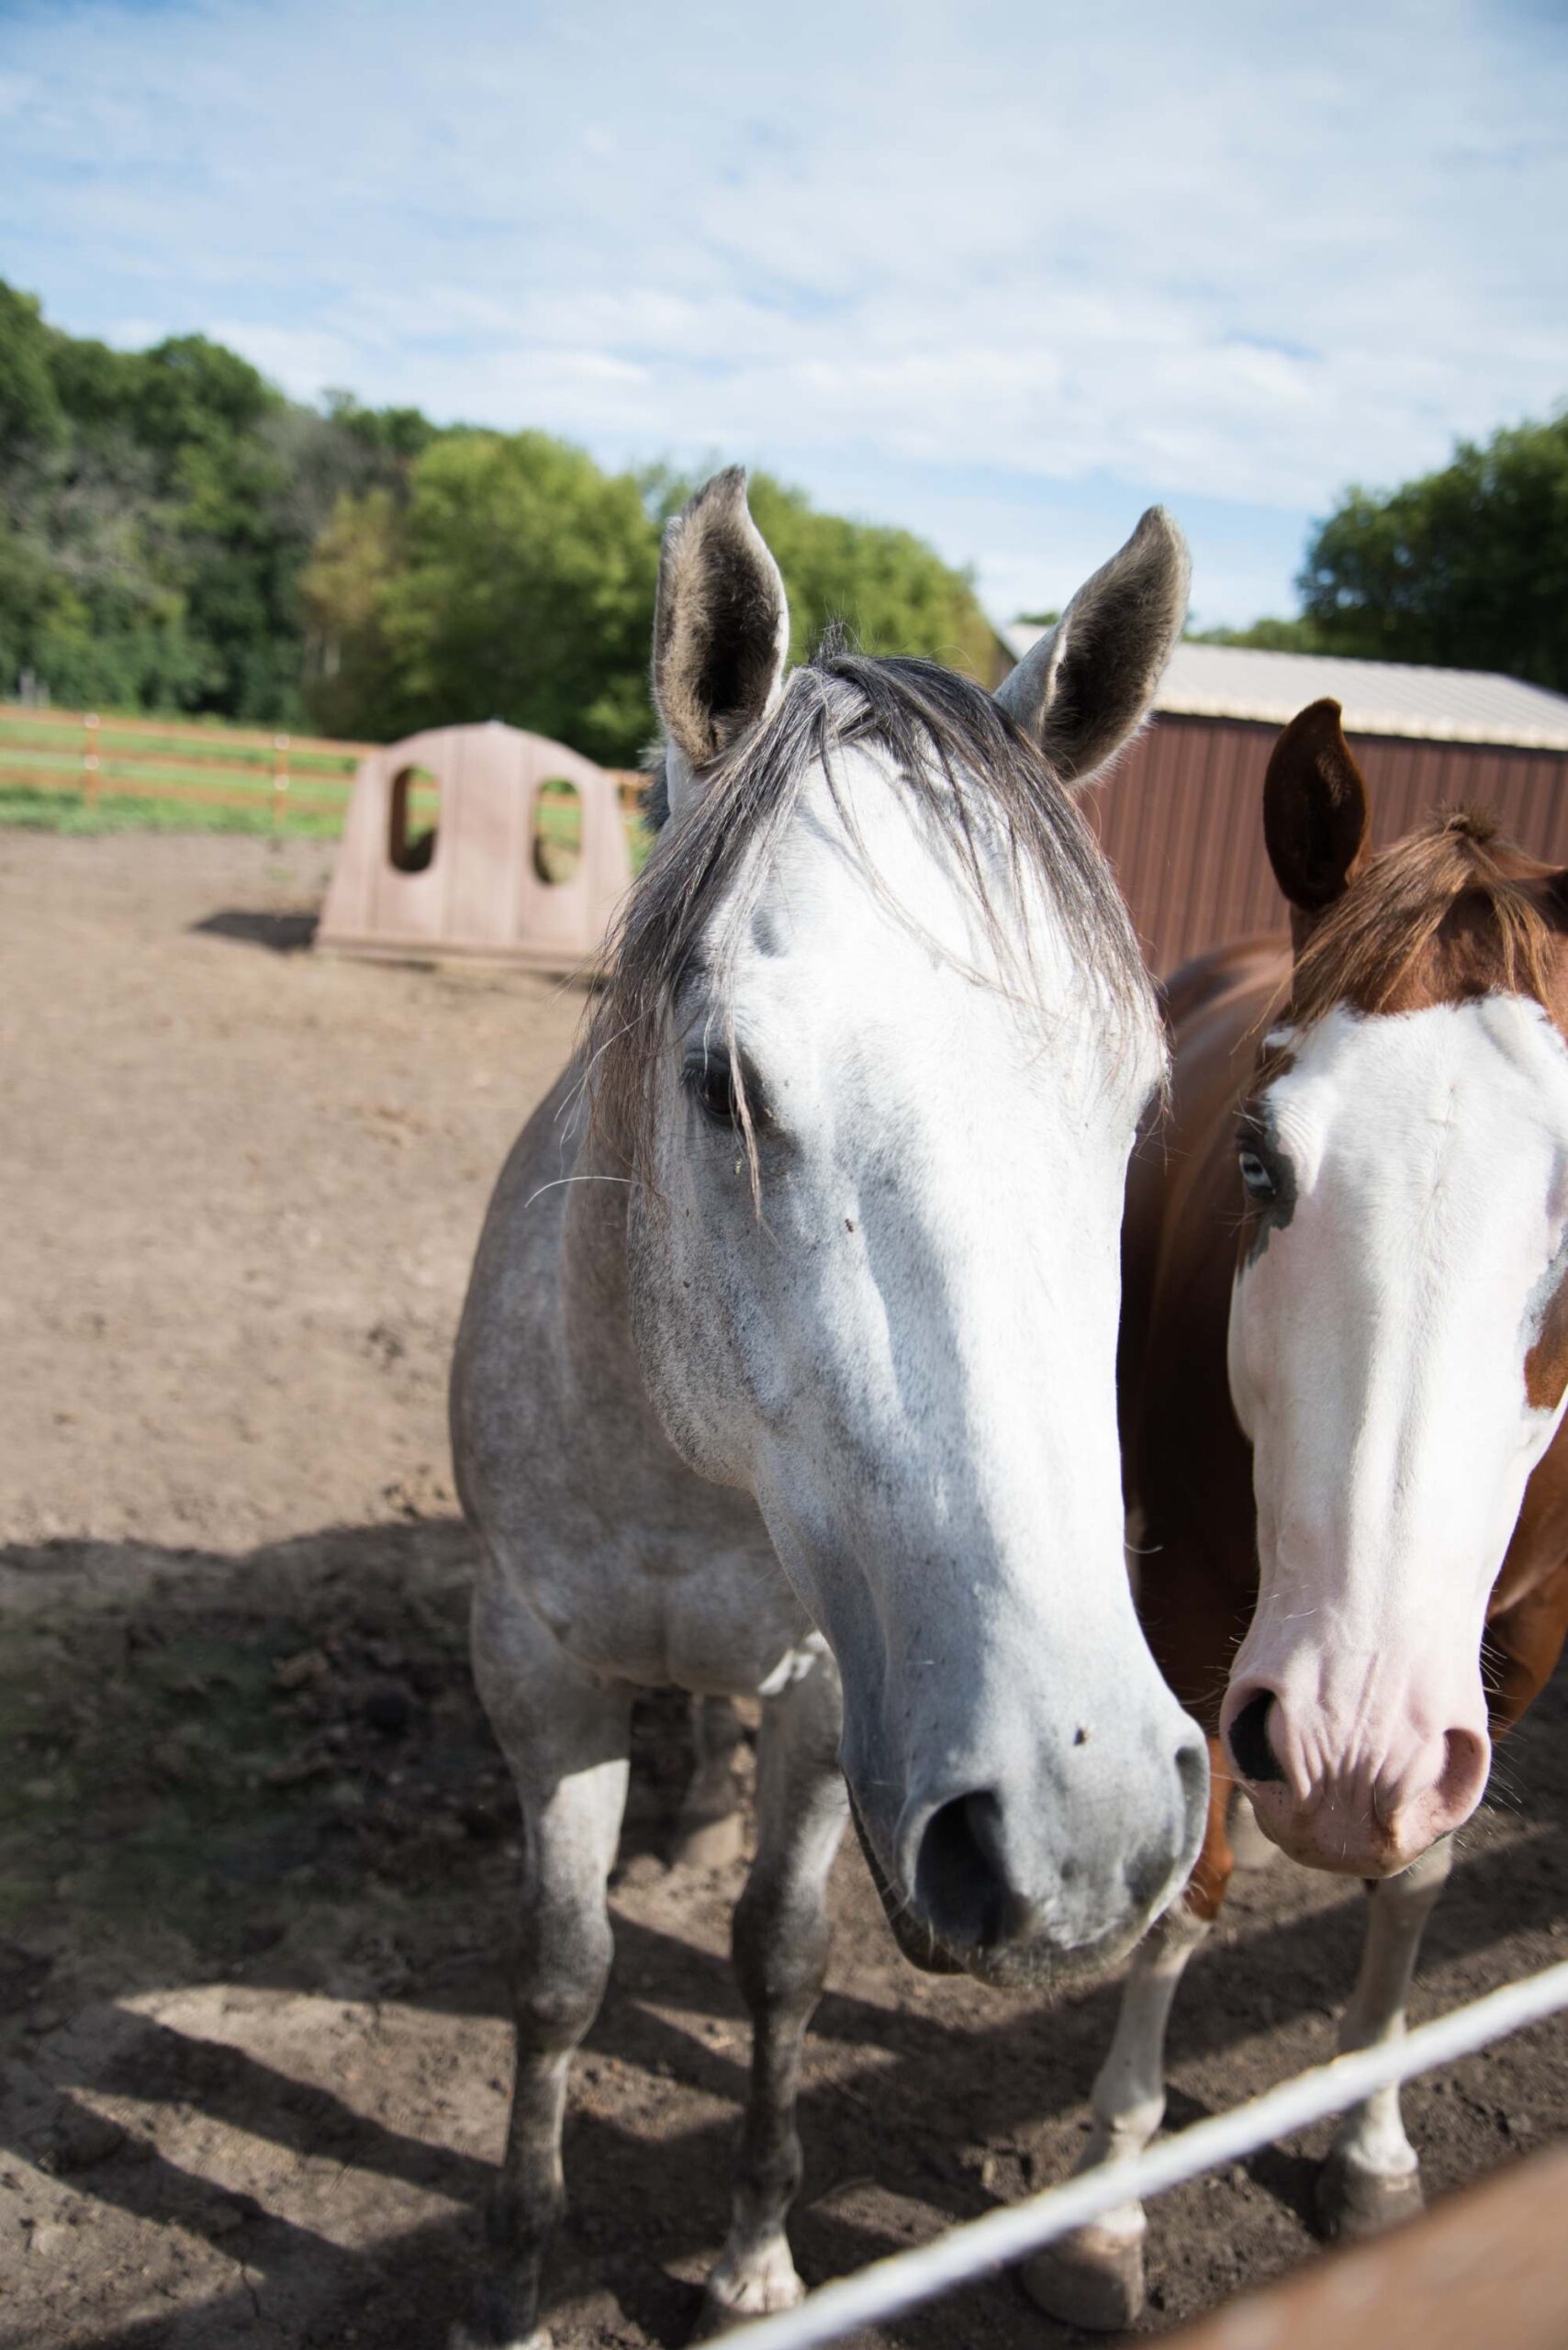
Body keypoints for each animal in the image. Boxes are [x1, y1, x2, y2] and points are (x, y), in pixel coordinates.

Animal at [448, 468, 1209, 2346]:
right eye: (722, 1080)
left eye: (1135, 1099)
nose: (1082, 1825)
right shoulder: (531, 1664)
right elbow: (557, 1975)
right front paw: (516, 2275)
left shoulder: (816, 1691)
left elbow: (779, 1961)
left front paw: (752, 2259)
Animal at [1026, 697, 1568, 2331]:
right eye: (1259, 1161)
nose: (1347, 1742)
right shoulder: (1195, 1613)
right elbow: (1188, 1888)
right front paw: (1103, 2215)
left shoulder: (1524, 1643)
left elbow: (1421, 1872)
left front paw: (1370, 2144)